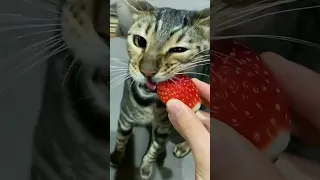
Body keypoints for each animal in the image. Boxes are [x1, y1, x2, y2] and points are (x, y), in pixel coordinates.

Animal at [109, 0, 210, 179]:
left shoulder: (164, 127)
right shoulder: (125, 117)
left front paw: (146, 167)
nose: (147, 71)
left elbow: (154, 150)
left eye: (179, 50)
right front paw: (117, 156)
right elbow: (121, 140)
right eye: (139, 41)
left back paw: (184, 146)